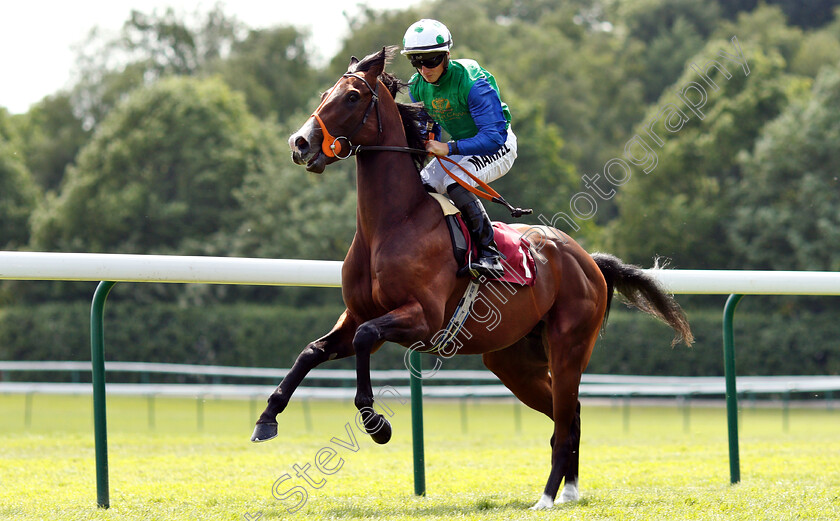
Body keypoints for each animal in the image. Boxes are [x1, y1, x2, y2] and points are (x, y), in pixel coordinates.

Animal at [251, 44, 696, 508]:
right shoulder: (356, 314)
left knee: (565, 417)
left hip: (568, 347)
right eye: (325, 93)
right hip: (513, 362)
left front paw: (377, 424)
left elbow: (363, 339)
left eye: (352, 97)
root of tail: (587, 260)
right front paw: (267, 418)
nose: (300, 143)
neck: (391, 224)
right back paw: (568, 490)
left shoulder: (421, 318)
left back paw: (547, 496)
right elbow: (313, 351)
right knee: (567, 413)